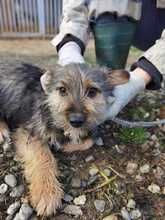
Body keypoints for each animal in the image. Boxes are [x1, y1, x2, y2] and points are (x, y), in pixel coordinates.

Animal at [0, 60, 130, 217]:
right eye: (62, 90)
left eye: (92, 92)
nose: (76, 121)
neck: (49, 105)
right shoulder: (28, 132)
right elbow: (42, 157)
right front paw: (47, 193)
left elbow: (88, 141)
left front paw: (64, 144)